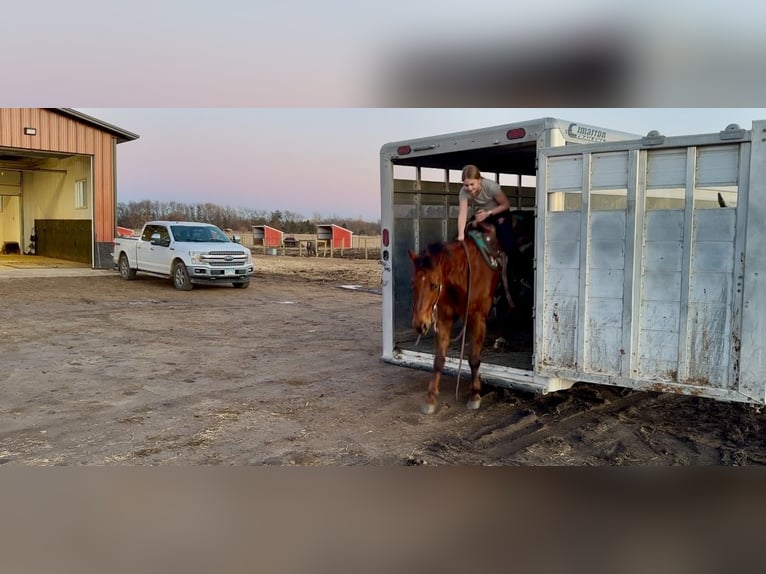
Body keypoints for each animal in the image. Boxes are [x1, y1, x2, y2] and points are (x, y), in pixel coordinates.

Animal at [408, 232, 504, 416]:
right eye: (413, 283)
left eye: (434, 285)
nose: (419, 324)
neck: (464, 277)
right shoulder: (444, 319)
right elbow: (439, 359)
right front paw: (430, 398)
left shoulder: (478, 319)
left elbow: (473, 358)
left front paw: (475, 395)